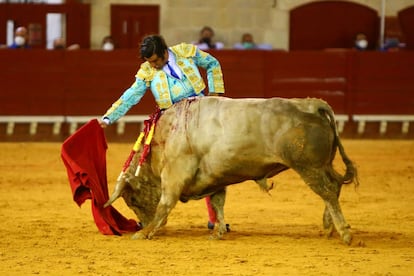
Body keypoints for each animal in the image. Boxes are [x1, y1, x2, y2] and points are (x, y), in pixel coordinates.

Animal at [104, 96, 360, 244]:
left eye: (132, 199)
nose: (141, 223)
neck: (163, 137)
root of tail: (312, 104)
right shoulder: (216, 178)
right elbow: (218, 204)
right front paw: (218, 232)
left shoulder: (175, 174)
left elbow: (164, 204)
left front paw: (145, 233)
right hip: (323, 165)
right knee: (335, 185)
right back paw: (329, 228)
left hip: (308, 167)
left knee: (327, 191)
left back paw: (345, 233)